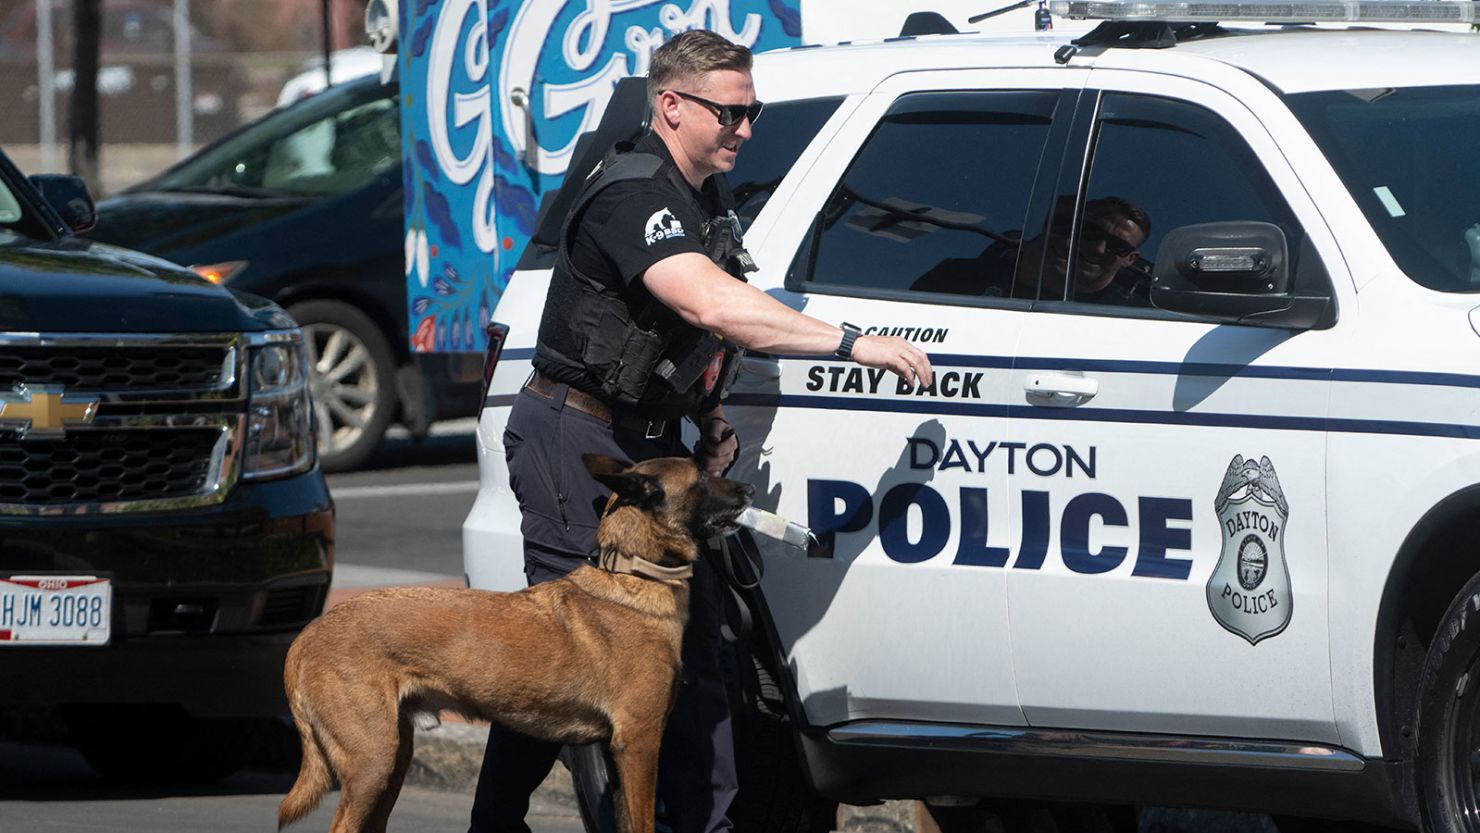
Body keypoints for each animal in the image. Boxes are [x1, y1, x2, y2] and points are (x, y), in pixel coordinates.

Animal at [279, 455, 751, 833]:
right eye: (701, 477)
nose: (747, 488)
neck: (633, 573)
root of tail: (306, 636)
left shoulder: (616, 753)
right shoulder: (638, 742)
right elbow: (645, 822)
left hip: (393, 761)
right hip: (373, 763)